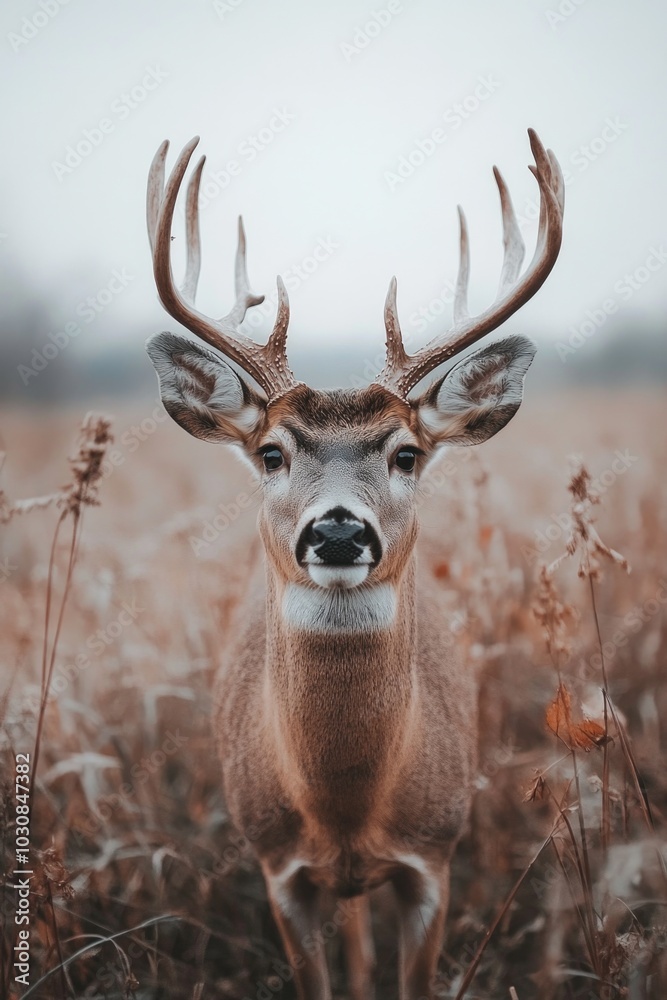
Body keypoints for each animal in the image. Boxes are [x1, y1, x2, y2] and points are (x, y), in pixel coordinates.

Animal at [145, 128, 564, 1000]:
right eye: (271, 452)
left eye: (405, 453)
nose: (337, 531)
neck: (343, 812)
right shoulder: (278, 868)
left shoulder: (434, 858)